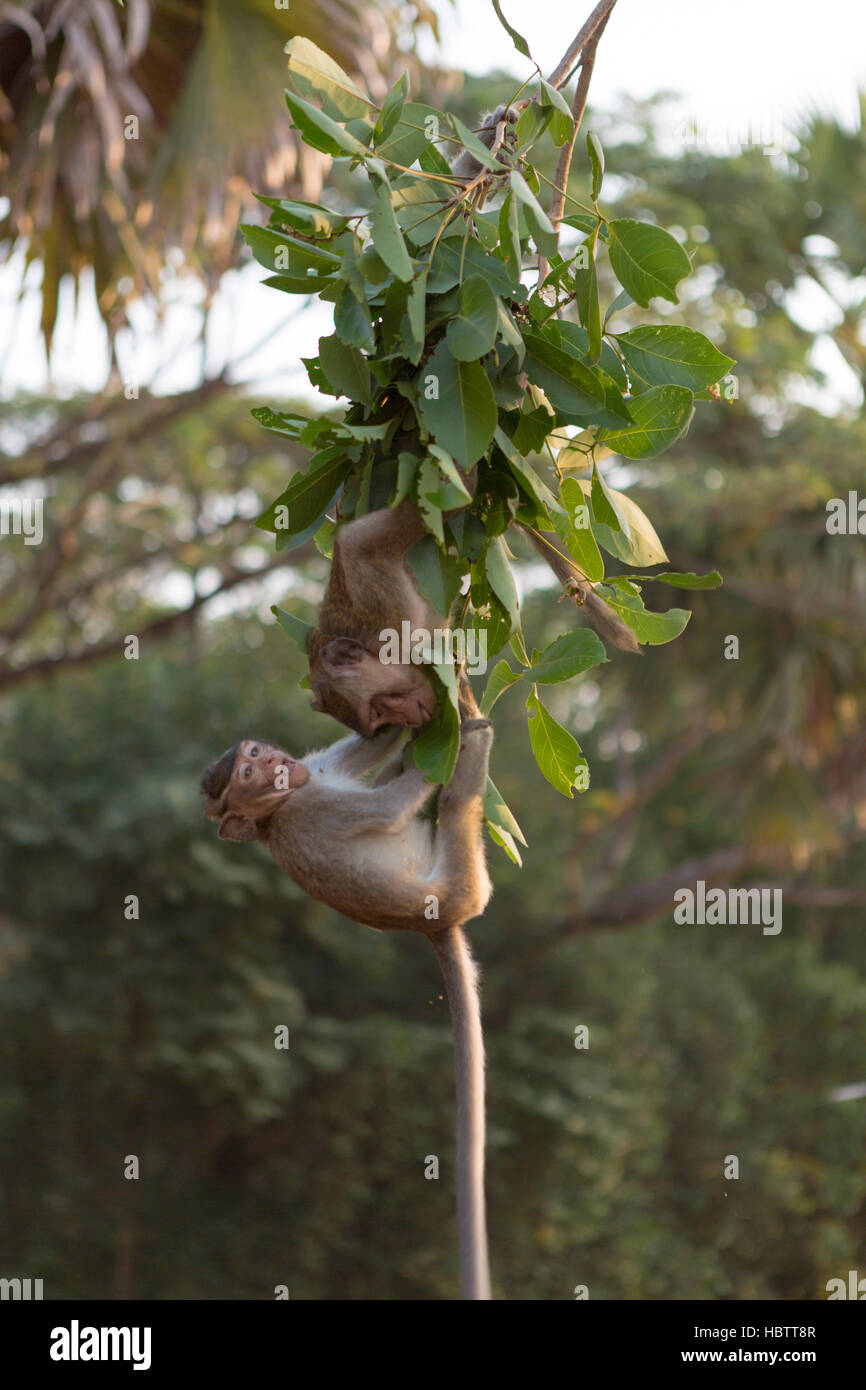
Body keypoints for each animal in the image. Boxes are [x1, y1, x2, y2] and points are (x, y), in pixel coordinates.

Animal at [201, 720, 494, 1300]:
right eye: (246, 773)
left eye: (253, 755)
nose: (272, 763)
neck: (278, 808)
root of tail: (434, 925)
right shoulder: (312, 808)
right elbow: (384, 808)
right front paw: (451, 729)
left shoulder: (312, 776)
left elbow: (363, 753)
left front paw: (408, 721)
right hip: (461, 878)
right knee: (454, 811)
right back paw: (472, 753)